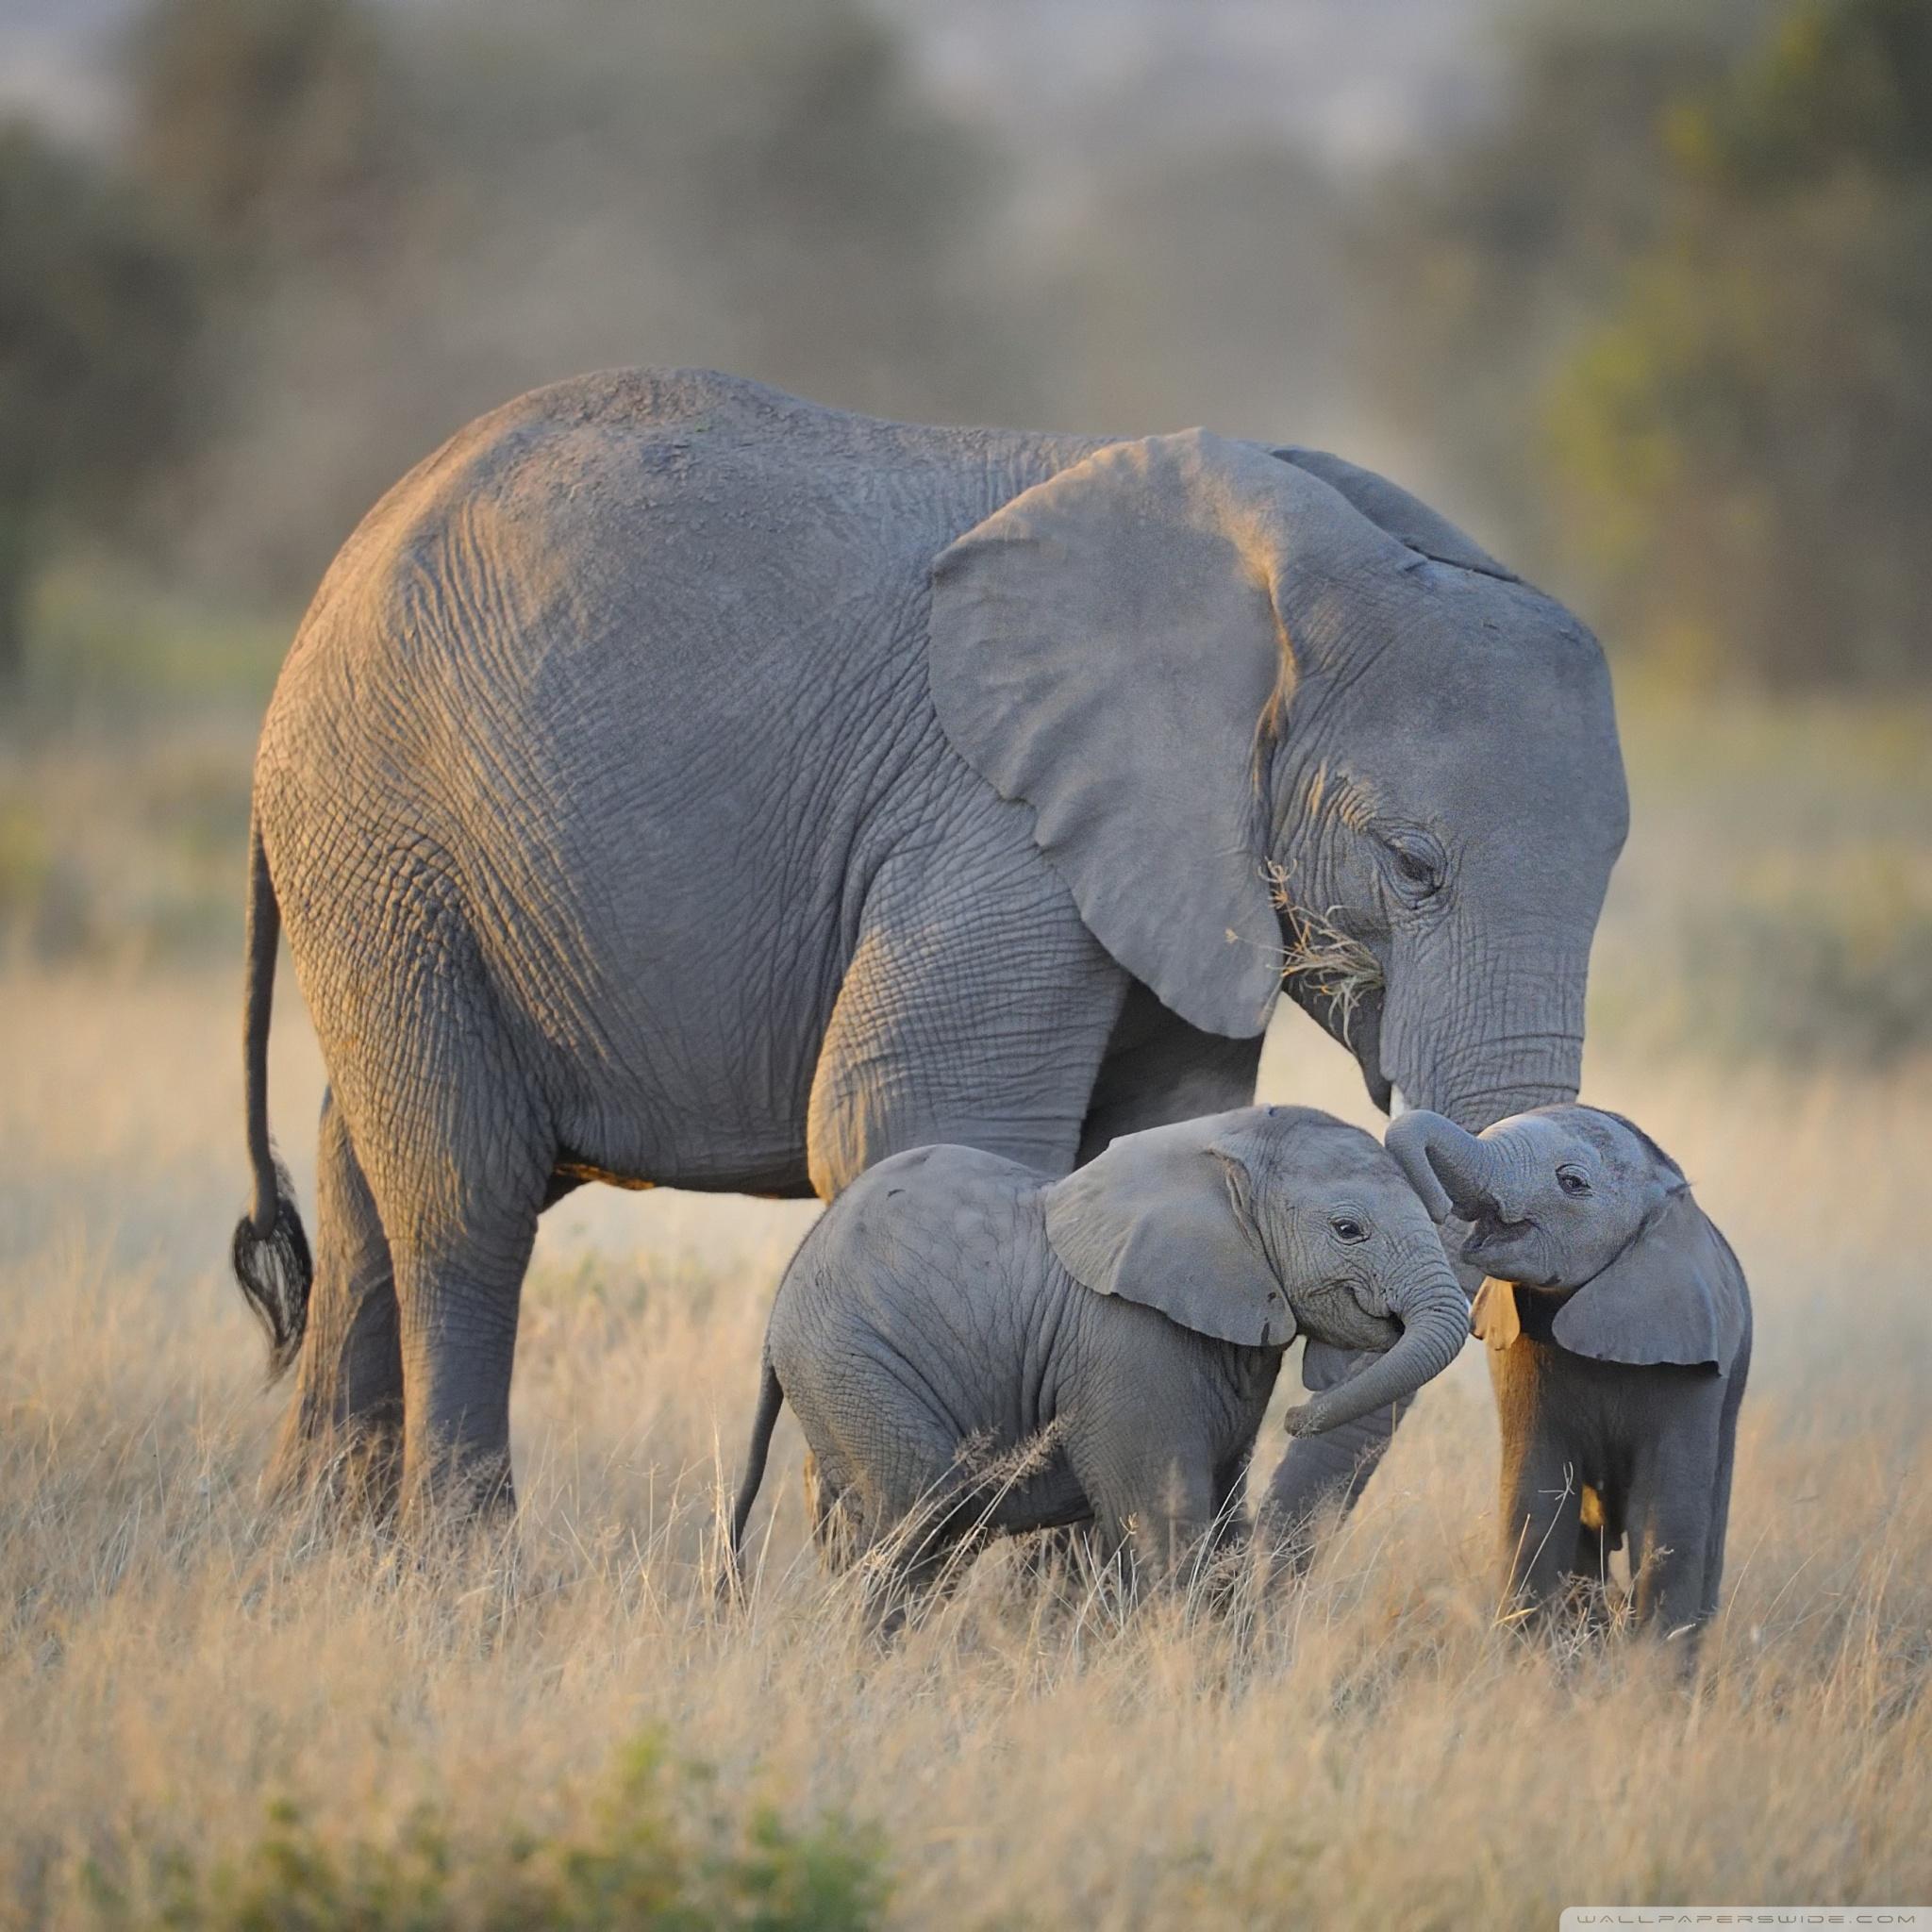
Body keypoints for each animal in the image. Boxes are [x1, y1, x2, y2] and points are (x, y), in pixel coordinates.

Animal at [229, 367, 1628, 1519]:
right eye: (1412, 865)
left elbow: (1151, 1138)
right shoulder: (989, 819)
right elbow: (912, 1118)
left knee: (362, 1181)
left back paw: (316, 1555)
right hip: (386, 831)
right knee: (462, 1198)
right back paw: (463, 1571)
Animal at [725, 1106, 1469, 1611]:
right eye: (1349, 1230)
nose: (1297, 1417)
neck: (1223, 1151)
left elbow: (1225, 1519)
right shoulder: (1128, 1345)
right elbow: (1166, 1525)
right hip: (852, 1362)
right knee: (920, 1517)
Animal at [1386, 1104, 1751, 1645]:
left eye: (1572, 1182)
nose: (1433, 1205)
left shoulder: (1692, 1362)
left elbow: (1667, 1520)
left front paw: (1652, 1670)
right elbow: (1535, 1502)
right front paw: (1531, 1660)